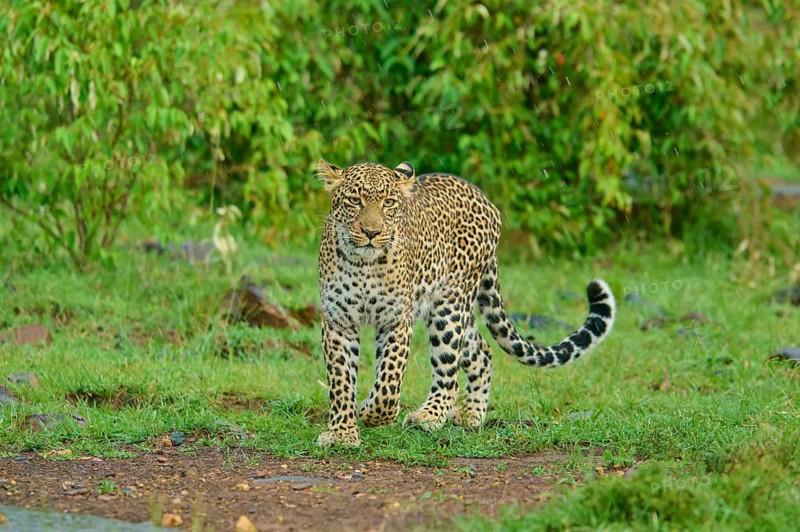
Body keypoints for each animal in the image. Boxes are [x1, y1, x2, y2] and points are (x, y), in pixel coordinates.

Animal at [315, 159, 616, 447]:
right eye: (354, 200)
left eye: (388, 202)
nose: (371, 232)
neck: (363, 264)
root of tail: (484, 198)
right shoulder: (338, 321)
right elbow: (341, 380)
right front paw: (342, 433)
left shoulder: (396, 319)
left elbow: (388, 382)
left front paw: (370, 411)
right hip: (456, 312)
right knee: (482, 351)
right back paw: (472, 414)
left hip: (449, 307)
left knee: (449, 371)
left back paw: (429, 416)